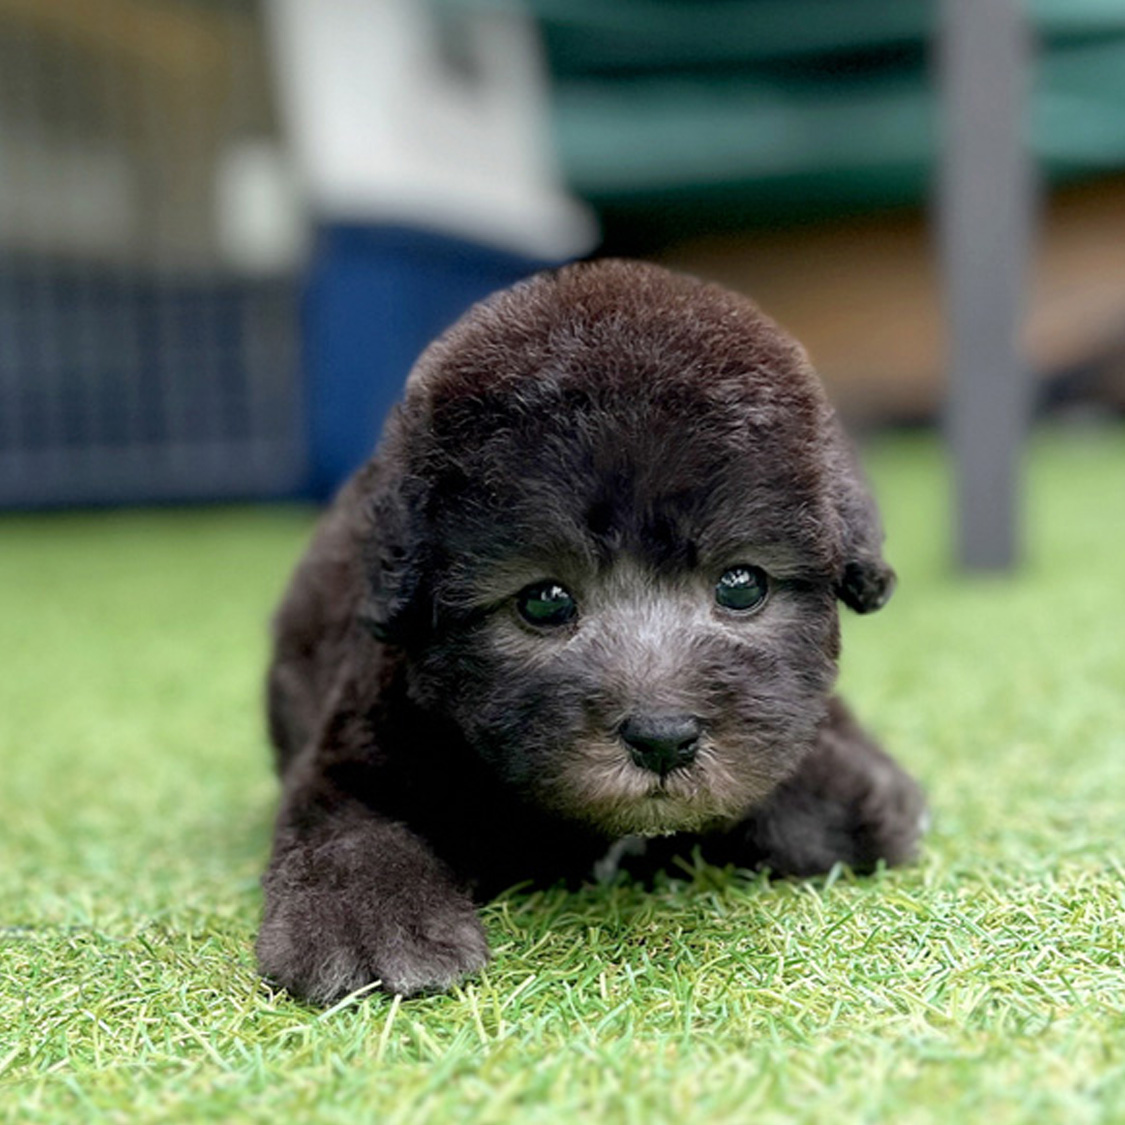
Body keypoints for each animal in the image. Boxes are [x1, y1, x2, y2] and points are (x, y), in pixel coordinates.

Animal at [258, 257, 927, 1003]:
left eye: (741, 585)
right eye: (545, 602)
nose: (663, 738)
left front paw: (845, 794)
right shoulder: (362, 743)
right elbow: (348, 827)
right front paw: (367, 926)